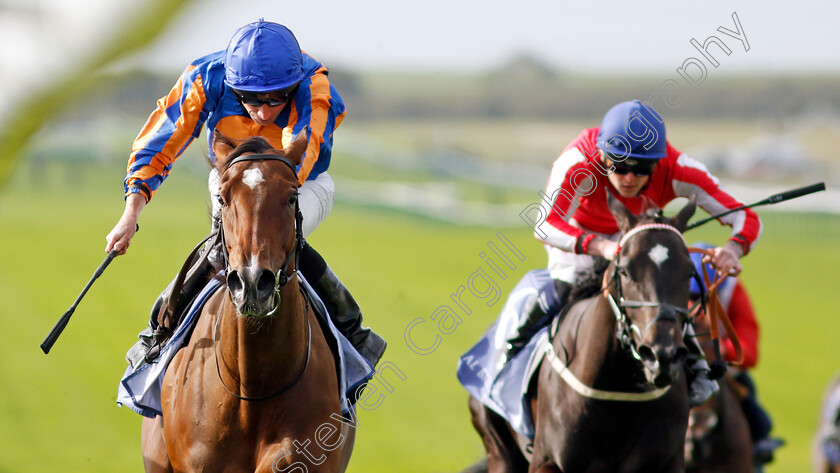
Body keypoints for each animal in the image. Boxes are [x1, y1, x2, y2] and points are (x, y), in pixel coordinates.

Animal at [470, 193, 700, 472]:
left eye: (689, 272)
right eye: (624, 270)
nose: (662, 355)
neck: (619, 391)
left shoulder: (667, 460)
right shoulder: (545, 460)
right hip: (498, 446)